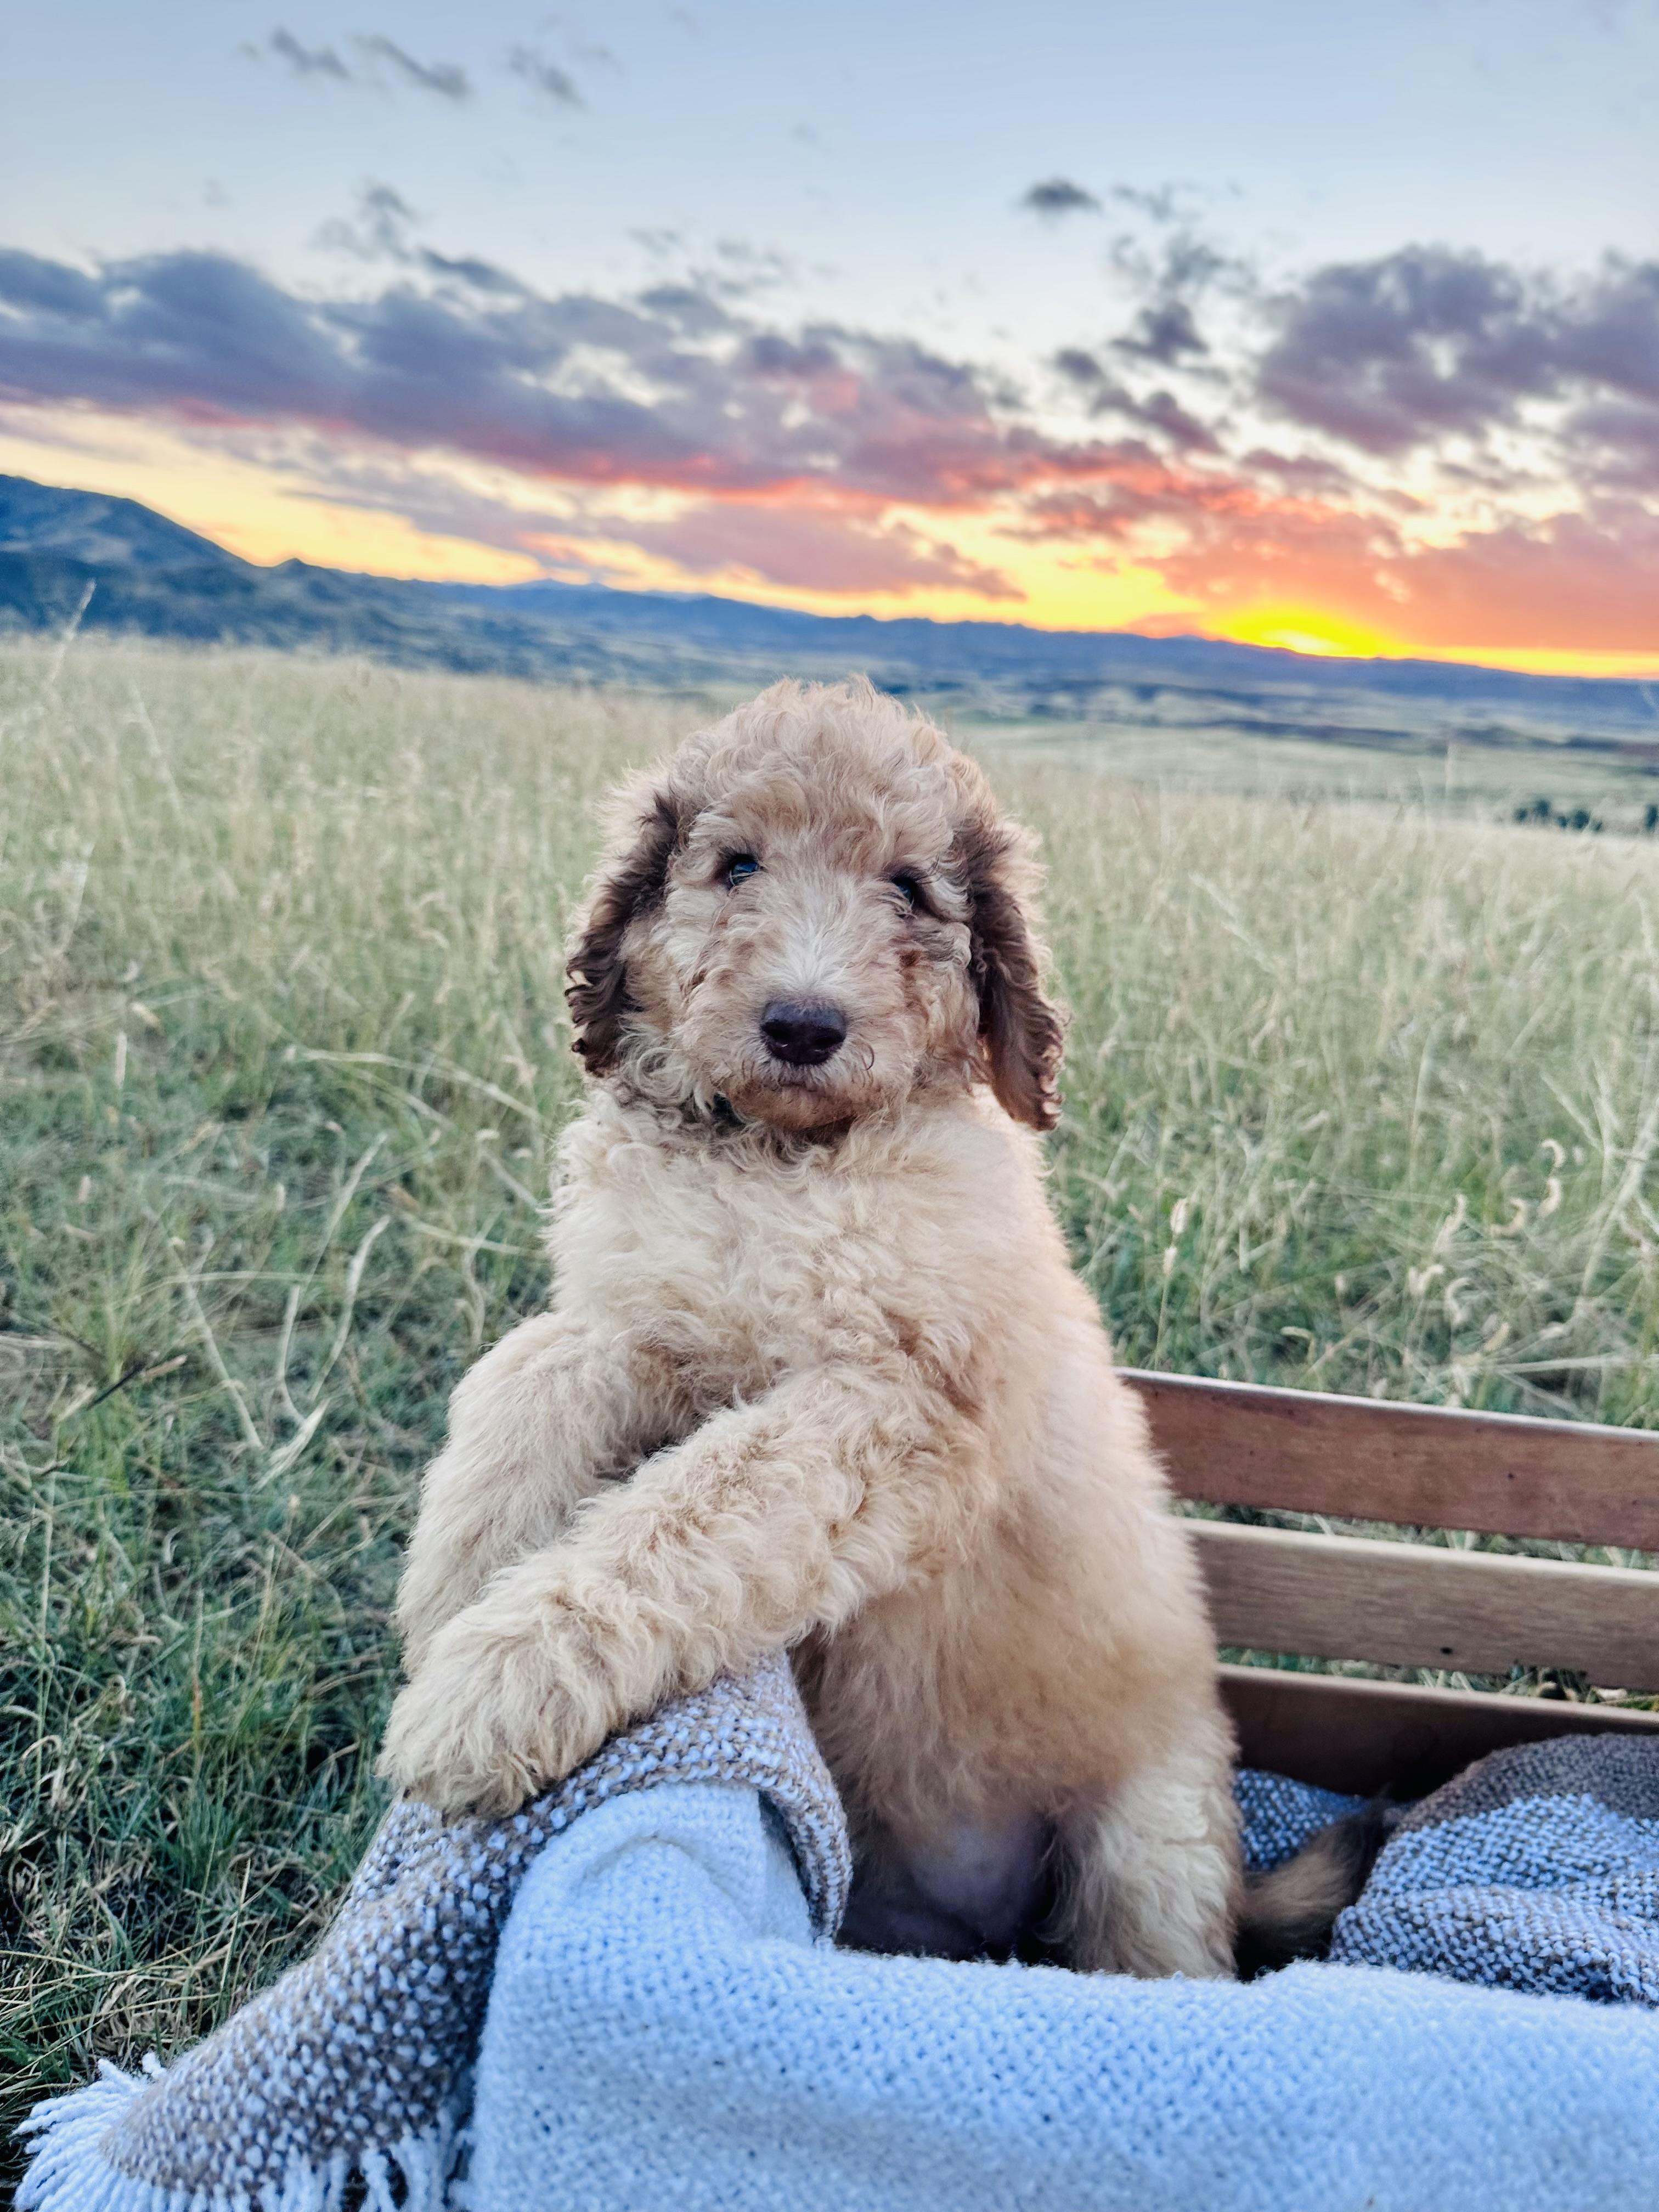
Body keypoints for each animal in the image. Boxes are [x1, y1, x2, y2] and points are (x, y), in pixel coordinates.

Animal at [378, 677, 1251, 1977]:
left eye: (912, 889)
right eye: (735, 864)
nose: (802, 1024)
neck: (783, 1160)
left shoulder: (897, 1407)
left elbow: (697, 1509)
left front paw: (495, 1680)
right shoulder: (651, 1316)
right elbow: (525, 1367)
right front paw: (455, 1590)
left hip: (1151, 1840)